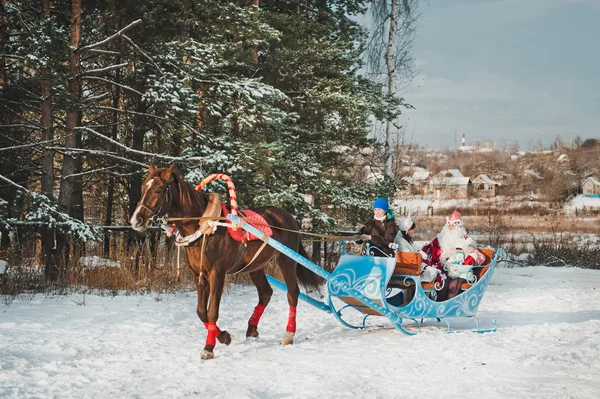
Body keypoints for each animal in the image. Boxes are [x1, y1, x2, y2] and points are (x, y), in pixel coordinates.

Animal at [129, 162, 322, 360]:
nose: (136, 220)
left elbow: (212, 311)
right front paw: (223, 337)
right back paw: (252, 329)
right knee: (265, 293)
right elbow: (201, 312)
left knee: (292, 293)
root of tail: (287, 216)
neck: (205, 228)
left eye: (158, 190)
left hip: (286, 261)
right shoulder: (199, 275)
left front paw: (209, 347)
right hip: (255, 267)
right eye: (143, 187)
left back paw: (288, 335)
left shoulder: (217, 274)